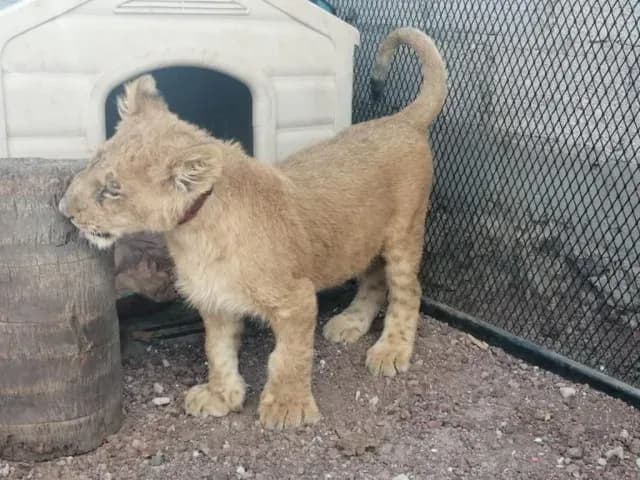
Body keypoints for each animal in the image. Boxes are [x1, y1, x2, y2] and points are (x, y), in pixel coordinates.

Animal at [58, 27, 447, 429]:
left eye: (112, 189)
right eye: (93, 162)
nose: (64, 211)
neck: (192, 233)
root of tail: (401, 120)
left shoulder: (296, 299)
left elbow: (289, 356)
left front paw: (287, 407)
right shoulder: (215, 299)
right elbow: (217, 351)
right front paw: (220, 396)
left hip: (405, 232)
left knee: (408, 291)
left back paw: (391, 350)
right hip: (364, 238)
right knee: (373, 280)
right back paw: (350, 323)